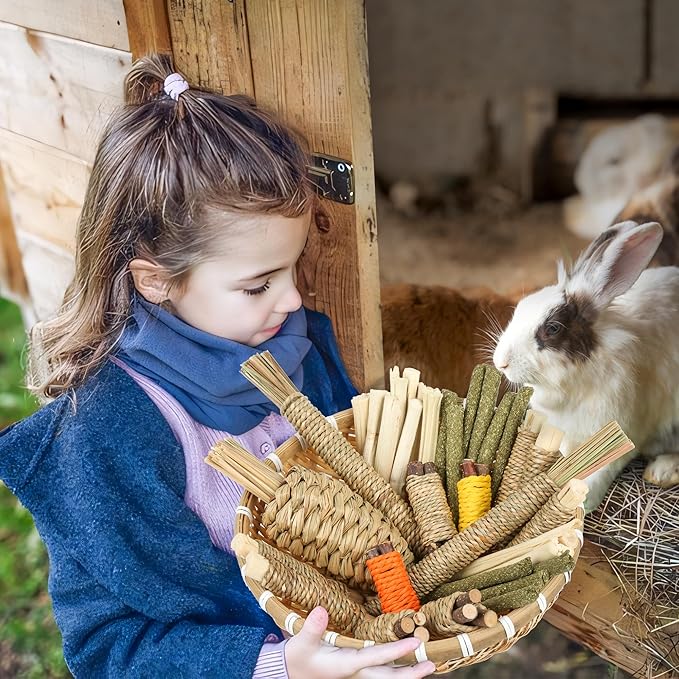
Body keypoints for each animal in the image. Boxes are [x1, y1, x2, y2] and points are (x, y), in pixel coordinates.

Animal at [492, 220, 679, 510]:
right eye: (519, 308)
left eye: (553, 328)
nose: (500, 362)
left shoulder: (619, 429)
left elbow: (600, 470)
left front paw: (583, 502)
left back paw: (661, 472)